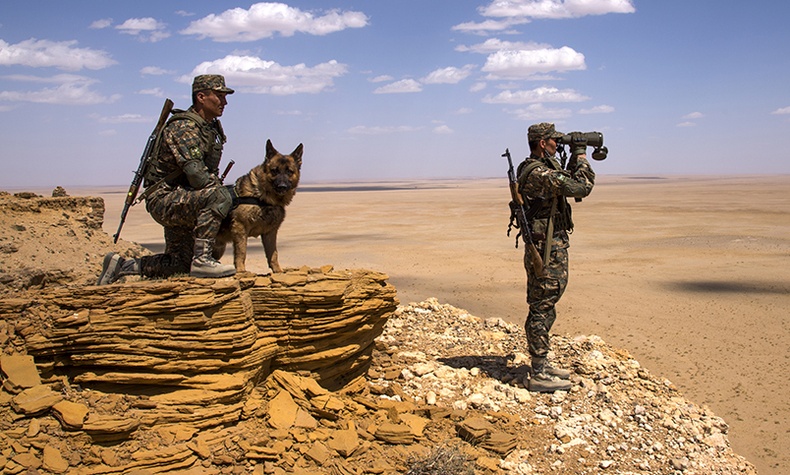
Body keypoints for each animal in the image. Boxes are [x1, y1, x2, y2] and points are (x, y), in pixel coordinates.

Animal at [213, 139, 304, 274]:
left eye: (289, 171)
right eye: (274, 170)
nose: (282, 186)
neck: (262, 197)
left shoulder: (270, 232)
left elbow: (273, 254)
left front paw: (278, 270)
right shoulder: (240, 228)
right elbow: (241, 252)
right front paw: (241, 270)